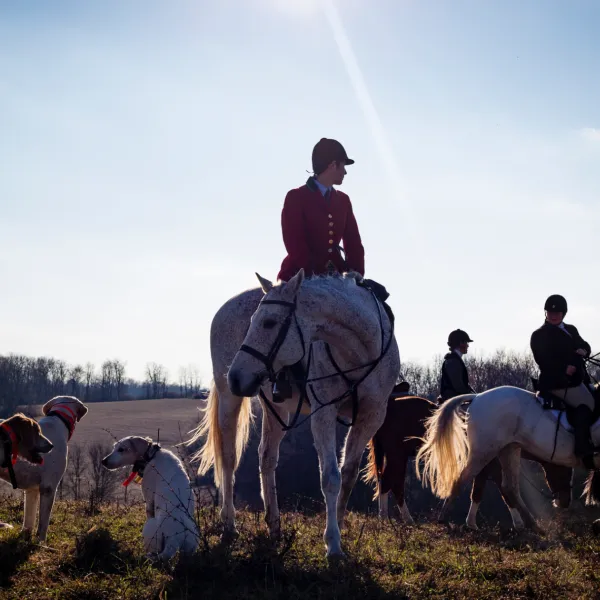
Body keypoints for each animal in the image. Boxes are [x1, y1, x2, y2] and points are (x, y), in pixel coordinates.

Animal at [189, 270, 398, 556]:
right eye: (253, 321)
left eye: (269, 323)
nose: (235, 376)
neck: (360, 352)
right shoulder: (323, 413)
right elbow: (330, 477)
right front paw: (332, 543)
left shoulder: (371, 416)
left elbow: (348, 474)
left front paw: (339, 528)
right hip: (230, 400)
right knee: (229, 459)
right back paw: (229, 525)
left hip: (275, 408)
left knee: (266, 457)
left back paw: (274, 525)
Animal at [360, 386, 576, 528]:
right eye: (565, 472)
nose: (565, 502)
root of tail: (391, 404)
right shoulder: (489, 463)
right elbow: (503, 491)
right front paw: (520, 522)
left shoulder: (487, 466)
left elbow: (480, 492)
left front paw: (472, 523)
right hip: (397, 456)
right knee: (388, 483)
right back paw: (387, 517)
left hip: (399, 457)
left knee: (393, 484)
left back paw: (404, 518)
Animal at [414, 384, 600, 528]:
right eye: (565, 471)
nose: (564, 502)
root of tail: (477, 397)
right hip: (483, 452)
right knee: (462, 480)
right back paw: (444, 518)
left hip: (509, 449)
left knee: (509, 487)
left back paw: (531, 524)